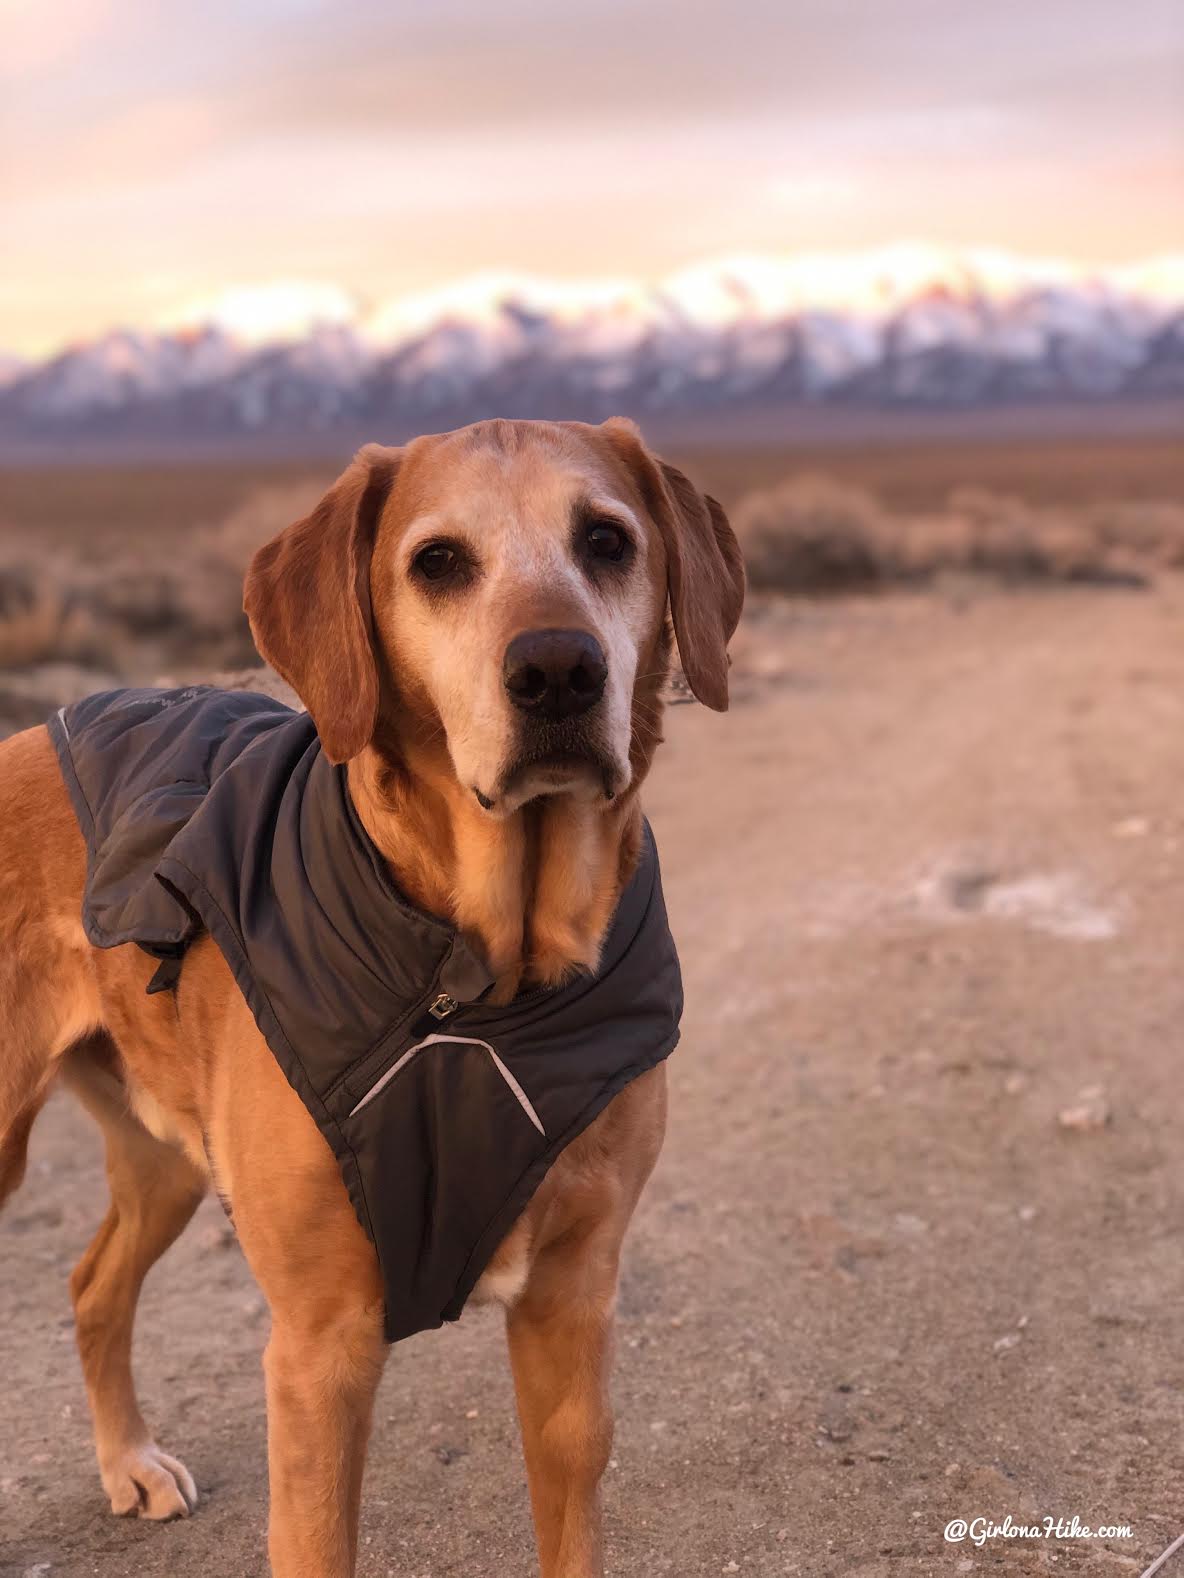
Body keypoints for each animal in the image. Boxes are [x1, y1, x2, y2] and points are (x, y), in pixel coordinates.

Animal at [0, 419, 741, 1578]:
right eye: (436, 562)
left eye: (607, 540)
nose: (557, 670)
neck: (486, 986)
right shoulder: (321, 1347)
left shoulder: (572, 1309)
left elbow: (570, 1528)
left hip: (166, 1157)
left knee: (92, 1286)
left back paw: (128, 1459)